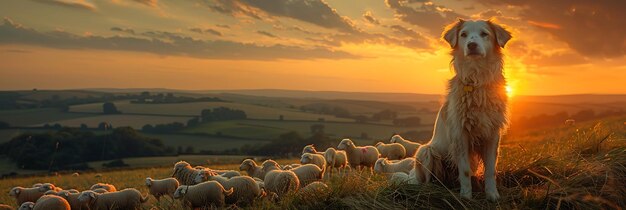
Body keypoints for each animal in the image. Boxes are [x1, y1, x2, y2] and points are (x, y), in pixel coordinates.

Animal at [412, 19, 510, 202]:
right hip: (426, 151)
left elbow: (490, 170)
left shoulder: (492, 134)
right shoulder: (460, 134)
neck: (477, 81)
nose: (471, 45)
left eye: (484, 34)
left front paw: (492, 194)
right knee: (428, 179)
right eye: (464, 34)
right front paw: (466, 196)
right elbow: (464, 170)